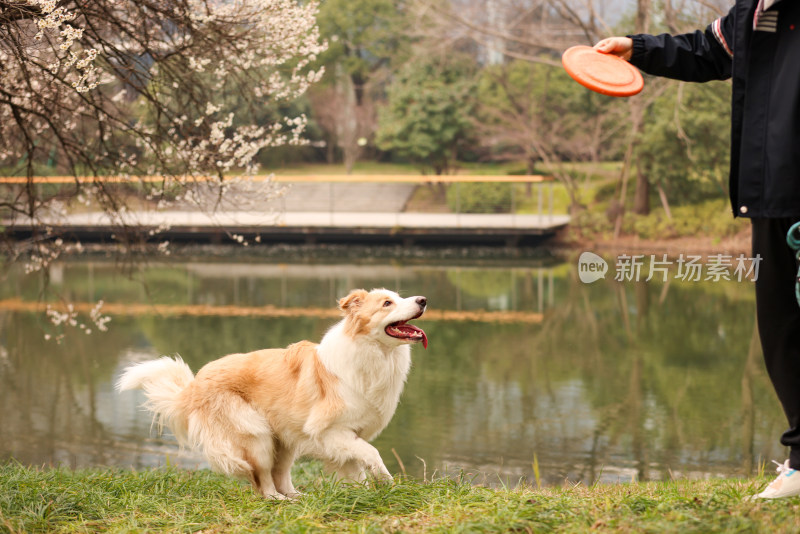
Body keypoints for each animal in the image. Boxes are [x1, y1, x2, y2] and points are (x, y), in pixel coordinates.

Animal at [116, 292, 428, 500]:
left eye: (400, 296)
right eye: (387, 303)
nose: (423, 300)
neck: (373, 352)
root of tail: (193, 386)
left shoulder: (347, 436)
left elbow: (356, 467)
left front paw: (361, 493)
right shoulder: (331, 432)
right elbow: (372, 454)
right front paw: (386, 483)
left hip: (285, 439)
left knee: (280, 475)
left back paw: (297, 497)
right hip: (257, 436)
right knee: (263, 480)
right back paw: (278, 500)